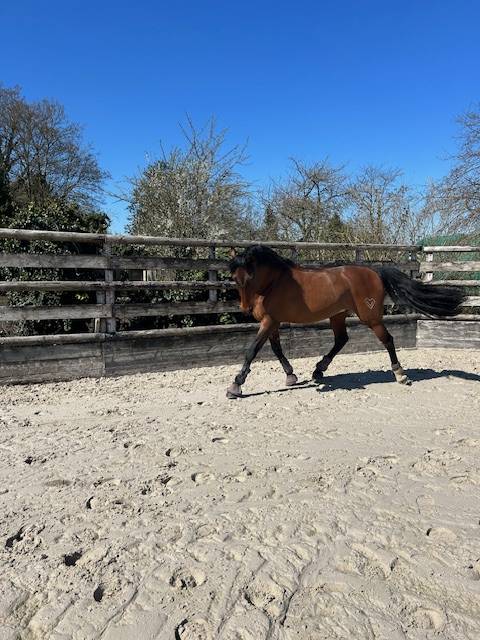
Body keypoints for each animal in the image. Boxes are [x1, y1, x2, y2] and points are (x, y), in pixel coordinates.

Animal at [226, 245, 465, 398]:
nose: (245, 309)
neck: (273, 283)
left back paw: (400, 375)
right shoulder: (273, 322)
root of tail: (374, 271)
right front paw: (291, 376)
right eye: (234, 279)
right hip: (338, 315)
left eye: (250, 276)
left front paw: (235, 386)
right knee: (341, 339)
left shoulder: (269, 321)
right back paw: (319, 369)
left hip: (370, 317)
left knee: (387, 340)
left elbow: (252, 351)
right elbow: (277, 350)